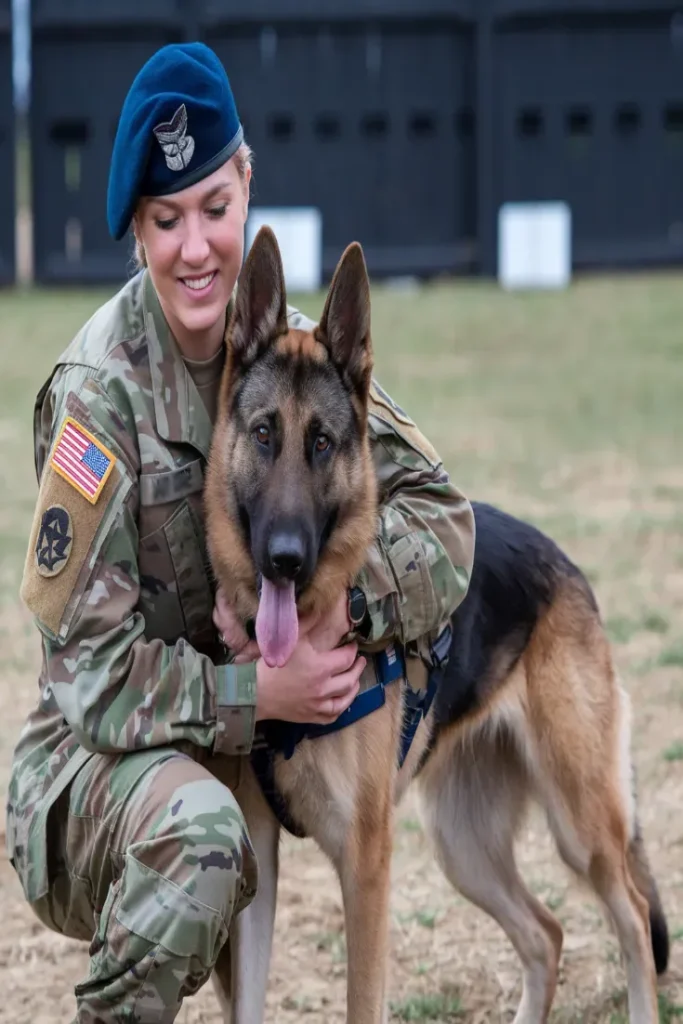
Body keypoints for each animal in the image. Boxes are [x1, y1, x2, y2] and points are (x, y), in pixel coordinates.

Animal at [205, 226, 671, 1024]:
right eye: (265, 435)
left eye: (322, 442)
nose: (286, 559)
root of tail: (566, 564)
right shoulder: (258, 865)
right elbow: (247, 1004)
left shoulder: (365, 864)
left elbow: (363, 1004)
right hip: (463, 847)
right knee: (546, 933)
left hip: (580, 827)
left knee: (634, 919)